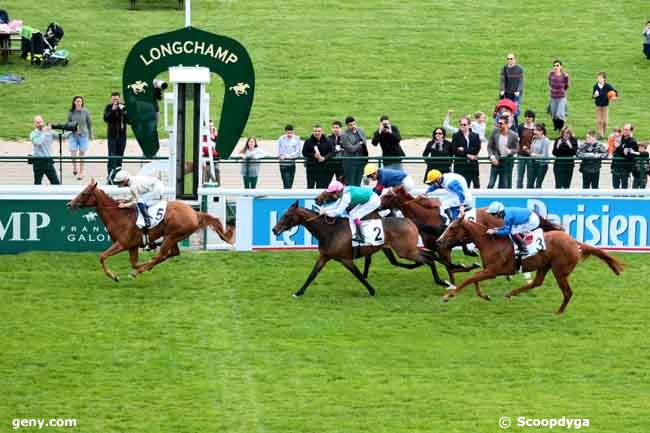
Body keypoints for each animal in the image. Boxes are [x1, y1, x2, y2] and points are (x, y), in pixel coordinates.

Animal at [65, 180, 233, 278]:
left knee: (162, 255)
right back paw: (147, 265)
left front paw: (114, 276)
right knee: (171, 254)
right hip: (173, 236)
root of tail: (194, 213)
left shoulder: (122, 244)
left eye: (84, 193)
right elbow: (133, 262)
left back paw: (138, 271)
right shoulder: (132, 246)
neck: (119, 216)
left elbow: (102, 256)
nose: (69, 204)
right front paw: (142, 266)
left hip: (172, 236)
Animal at [270, 200, 432, 296]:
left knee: (428, 258)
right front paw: (299, 292)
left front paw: (372, 290)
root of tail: (410, 221)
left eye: (287, 215)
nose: (274, 229)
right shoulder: (324, 256)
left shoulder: (345, 259)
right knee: (427, 257)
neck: (330, 231)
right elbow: (312, 274)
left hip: (405, 250)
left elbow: (358, 274)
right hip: (402, 249)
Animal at [436, 214, 624, 312]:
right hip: (544, 266)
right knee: (536, 282)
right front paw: (484, 295)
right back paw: (511, 293)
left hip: (559, 271)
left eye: (452, 228)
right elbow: (475, 280)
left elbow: (470, 279)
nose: (439, 241)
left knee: (568, 292)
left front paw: (448, 295)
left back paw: (558, 312)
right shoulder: (489, 270)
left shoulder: (493, 270)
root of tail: (575, 242)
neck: (490, 241)